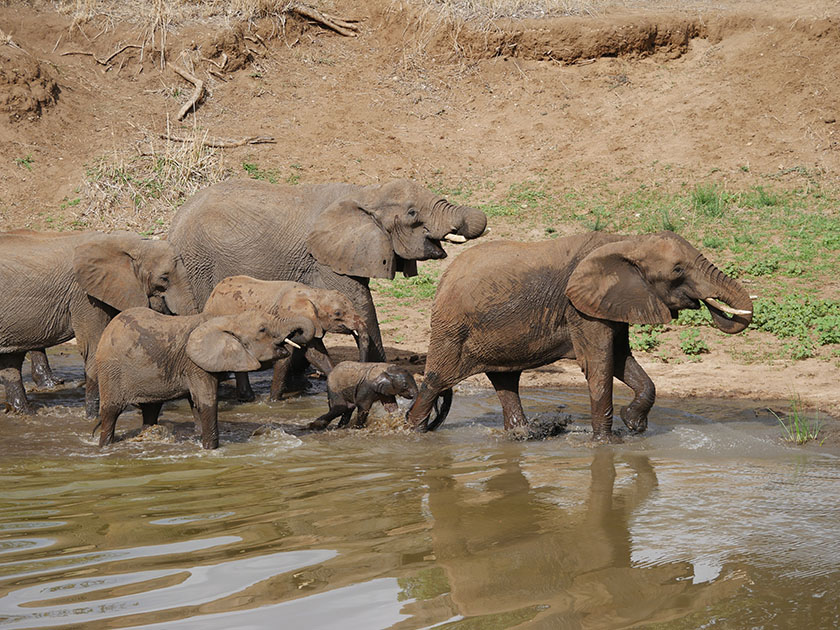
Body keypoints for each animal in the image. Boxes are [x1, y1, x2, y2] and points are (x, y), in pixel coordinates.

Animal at [0, 230, 199, 418]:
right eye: (164, 278)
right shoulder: (84, 295)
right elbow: (94, 347)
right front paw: (92, 417)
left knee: (11, 362)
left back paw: (26, 413)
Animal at [92, 310, 316, 450]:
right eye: (262, 330)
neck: (228, 319)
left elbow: (197, 403)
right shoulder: (195, 364)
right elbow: (207, 402)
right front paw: (210, 450)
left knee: (151, 409)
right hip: (111, 371)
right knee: (111, 412)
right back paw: (105, 447)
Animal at [168, 178, 488, 366]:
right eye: (412, 214)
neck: (365, 192)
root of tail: (174, 220)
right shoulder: (326, 255)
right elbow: (361, 301)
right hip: (195, 265)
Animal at [202, 278, 370, 402]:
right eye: (338, 313)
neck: (313, 293)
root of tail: (211, 295)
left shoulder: (312, 321)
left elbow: (317, 355)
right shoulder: (287, 316)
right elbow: (286, 358)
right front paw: (272, 402)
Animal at [406, 230, 756, 442]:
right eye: (678, 271)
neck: (626, 241)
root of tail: (444, 276)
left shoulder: (610, 303)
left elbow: (621, 361)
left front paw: (634, 425)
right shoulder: (581, 309)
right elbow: (600, 366)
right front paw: (606, 443)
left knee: (506, 381)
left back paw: (522, 436)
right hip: (452, 328)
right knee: (436, 381)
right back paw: (411, 432)